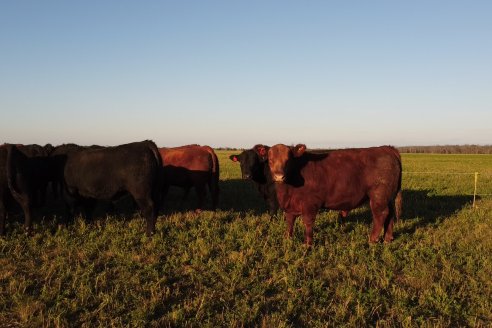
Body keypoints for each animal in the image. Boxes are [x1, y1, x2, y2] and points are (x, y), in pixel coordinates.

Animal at [268, 142, 402, 245]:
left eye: (288, 159)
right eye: (270, 160)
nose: (279, 176)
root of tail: (386, 148)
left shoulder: (310, 204)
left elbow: (308, 223)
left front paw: (307, 244)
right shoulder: (290, 205)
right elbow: (290, 222)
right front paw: (287, 239)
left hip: (378, 196)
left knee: (381, 214)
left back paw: (372, 240)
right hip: (388, 197)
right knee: (390, 214)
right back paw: (387, 239)